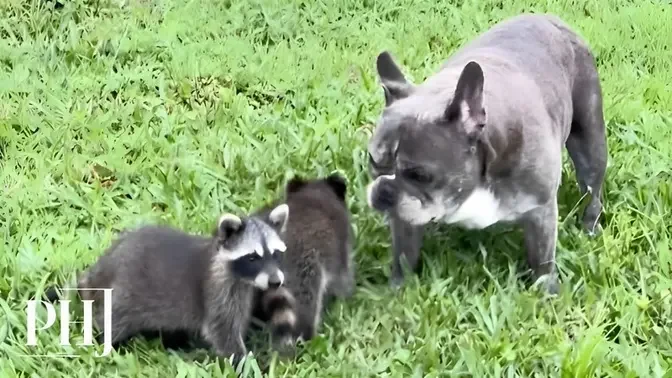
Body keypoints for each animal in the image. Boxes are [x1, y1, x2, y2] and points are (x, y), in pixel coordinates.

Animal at [44, 202, 292, 364]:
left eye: (276, 254)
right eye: (252, 258)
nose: (275, 282)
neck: (241, 277)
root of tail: (99, 269)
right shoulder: (216, 292)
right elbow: (222, 333)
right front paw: (244, 361)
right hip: (120, 295)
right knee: (111, 321)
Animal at [364, 13, 608, 294]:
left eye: (420, 175)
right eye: (373, 161)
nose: (383, 189)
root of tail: (550, 19)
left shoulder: (541, 209)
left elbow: (542, 260)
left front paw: (546, 291)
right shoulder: (406, 218)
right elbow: (404, 255)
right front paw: (397, 290)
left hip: (589, 140)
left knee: (592, 188)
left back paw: (589, 226)